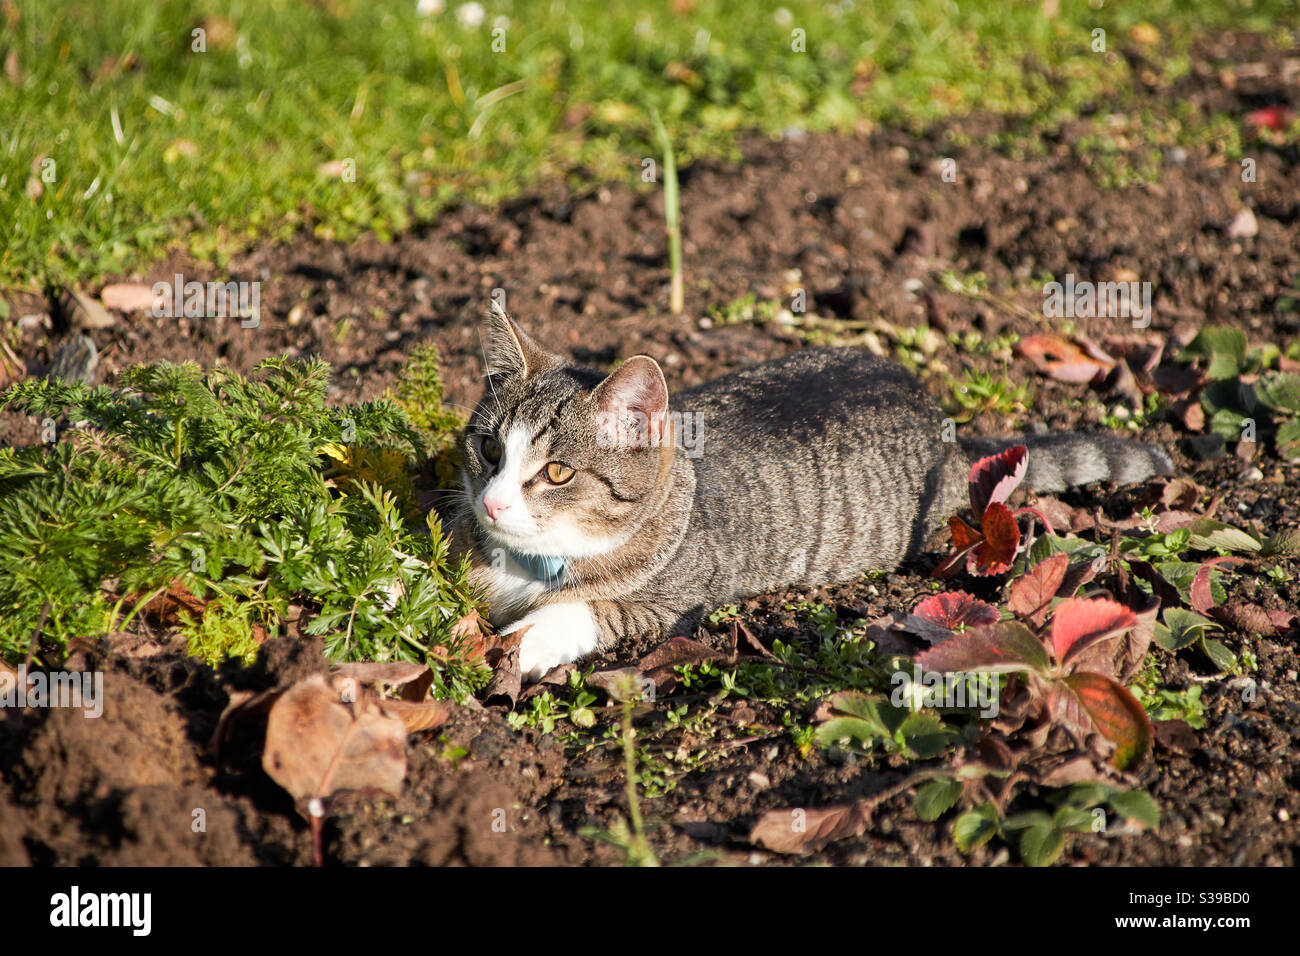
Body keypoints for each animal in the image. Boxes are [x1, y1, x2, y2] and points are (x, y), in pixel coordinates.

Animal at [452, 306, 1175, 681]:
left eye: (557, 473)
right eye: (488, 450)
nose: (492, 503)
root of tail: (942, 424)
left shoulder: (669, 607)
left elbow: (578, 613)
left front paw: (515, 645)